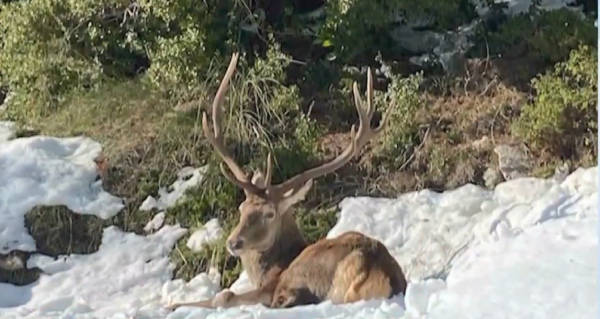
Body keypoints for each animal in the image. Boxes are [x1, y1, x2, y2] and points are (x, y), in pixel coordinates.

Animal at [165, 53, 408, 312]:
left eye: (269, 214)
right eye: (242, 208)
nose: (233, 242)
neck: (274, 267)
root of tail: (379, 272)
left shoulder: (272, 285)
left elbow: (224, 295)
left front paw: (172, 305)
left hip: (313, 275)